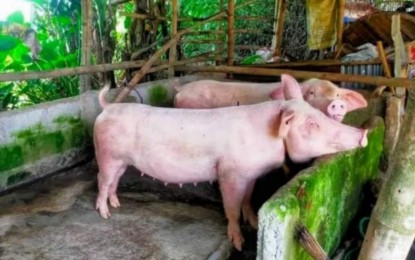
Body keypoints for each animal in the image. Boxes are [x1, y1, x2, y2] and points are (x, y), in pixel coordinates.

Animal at [93, 73, 368, 252]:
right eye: (312, 123)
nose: (363, 133)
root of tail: (108, 108)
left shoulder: (251, 174)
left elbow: (248, 200)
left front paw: (254, 224)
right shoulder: (230, 173)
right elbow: (232, 207)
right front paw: (238, 243)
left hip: (122, 161)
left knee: (114, 180)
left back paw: (116, 204)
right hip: (106, 155)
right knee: (101, 179)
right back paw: (105, 214)